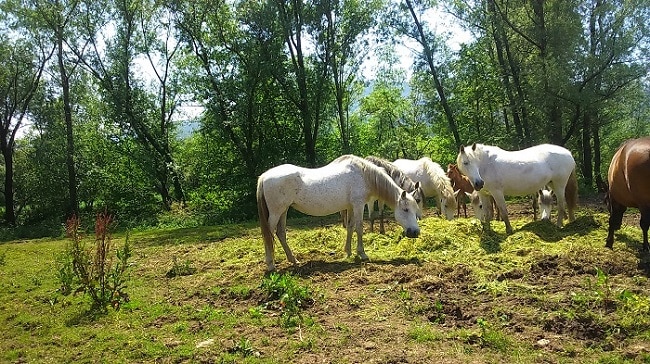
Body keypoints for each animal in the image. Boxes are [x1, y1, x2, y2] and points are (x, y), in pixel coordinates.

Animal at [256, 155, 422, 272]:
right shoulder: (358, 205)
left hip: (283, 211)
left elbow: (350, 227)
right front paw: (362, 254)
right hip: (276, 212)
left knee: (280, 233)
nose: (415, 232)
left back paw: (293, 260)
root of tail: (264, 176)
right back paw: (271, 265)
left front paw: (347, 252)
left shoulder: (350, 207)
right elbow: (359, 228)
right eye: (406, 210)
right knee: (268, 233)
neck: (364, 175)